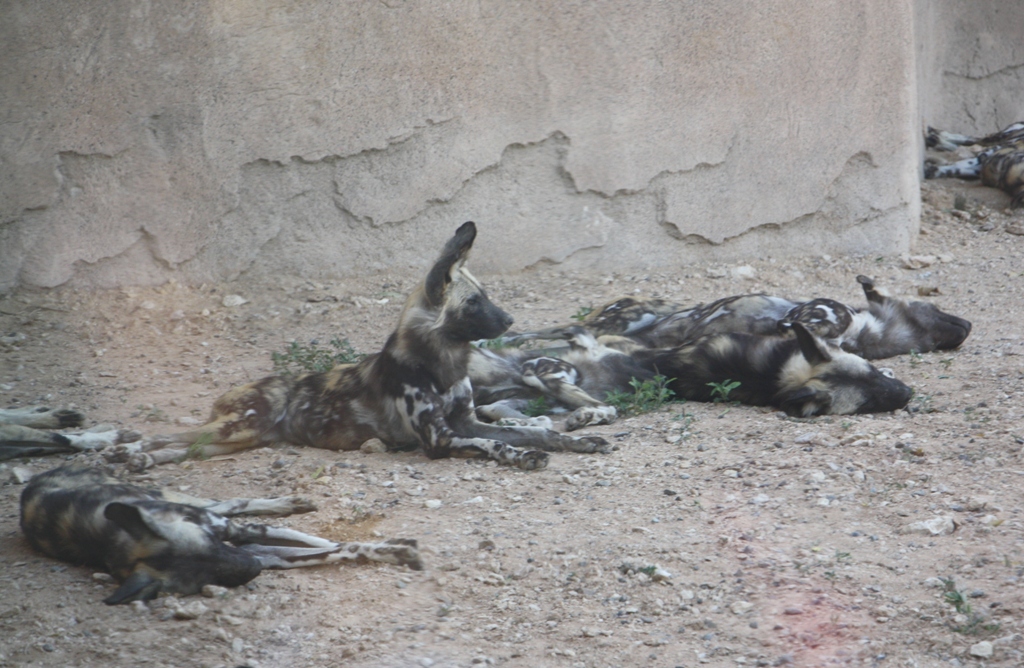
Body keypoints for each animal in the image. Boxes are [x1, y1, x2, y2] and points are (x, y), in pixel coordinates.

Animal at [19, 465, 421, 606]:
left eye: (211, 546)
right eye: (209, 578)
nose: (253, 565)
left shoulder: (235, 533)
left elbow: (325, 542)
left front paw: (398, 547)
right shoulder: (258, 552)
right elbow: (338, 549)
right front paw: (397, 551)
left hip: (170, 496)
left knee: (231, 503)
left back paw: (290, 502)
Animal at [117, 221, 606, 471]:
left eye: (486, 295)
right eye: (474, 302)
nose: (510, 321)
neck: (442, 364)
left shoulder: (466, 422)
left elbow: (540, 430)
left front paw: (580, 441)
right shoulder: (442, 439)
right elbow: (497, 446)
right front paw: (523, 455)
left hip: (242, 439)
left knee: (186, 448)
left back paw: (137, 460)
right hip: (240, 428)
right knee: (165, 436)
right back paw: (127, 451)